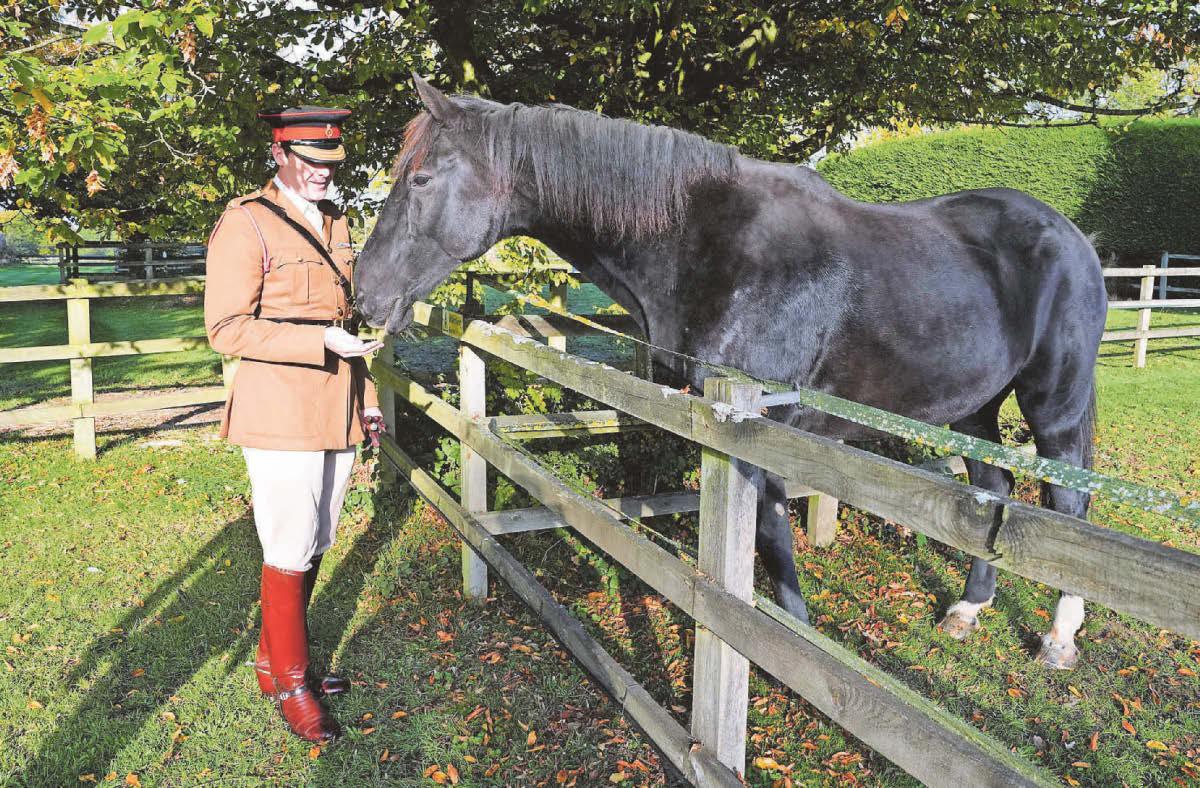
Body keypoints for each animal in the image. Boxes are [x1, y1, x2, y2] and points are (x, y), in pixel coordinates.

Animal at [355, 76, 1108, 670]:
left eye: (420, 178)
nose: (362, 290)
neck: (708, 244)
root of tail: (1074, 237)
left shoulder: (758, 432)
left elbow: (771, 547)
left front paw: (795, 655)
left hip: (1056, 406)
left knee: (1068, 509)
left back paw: (1059, 639)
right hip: (973, 408)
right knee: (993, 491)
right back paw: (968, 609)